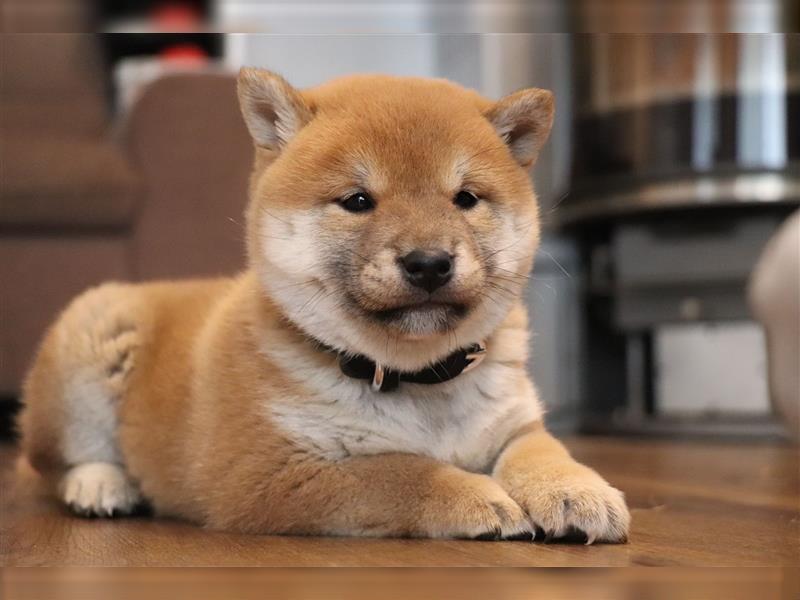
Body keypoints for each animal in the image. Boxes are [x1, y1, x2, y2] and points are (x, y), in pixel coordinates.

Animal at [17, 70, 632, 544]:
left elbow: (544, 452)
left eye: (465, 198)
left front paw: (577, 492)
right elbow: (401, 472)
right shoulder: (271, 474)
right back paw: (101, 485)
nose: (429, 263)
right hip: (91, 337)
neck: (415, 381)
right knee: (57, 461)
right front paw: (477, 496)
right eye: (357, 201)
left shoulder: (513, 423)